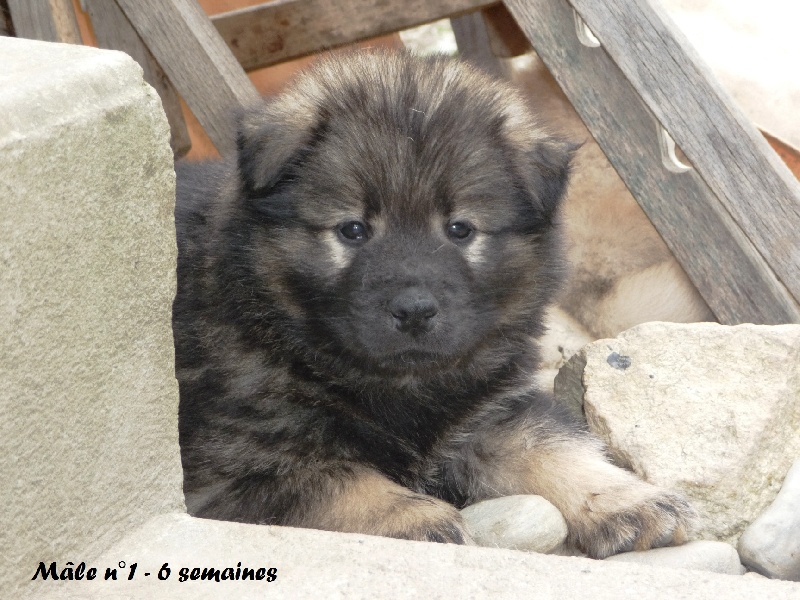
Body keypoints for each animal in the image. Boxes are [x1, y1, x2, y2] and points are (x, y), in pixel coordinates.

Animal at [173, 49, 694, 558]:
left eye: (460, 229)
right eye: (352, 230)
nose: (415, 310)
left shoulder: (492, 409)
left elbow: (550, 445)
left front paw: (627, 500)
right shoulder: (231, 463)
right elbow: (329, 477)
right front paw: (413, 518)